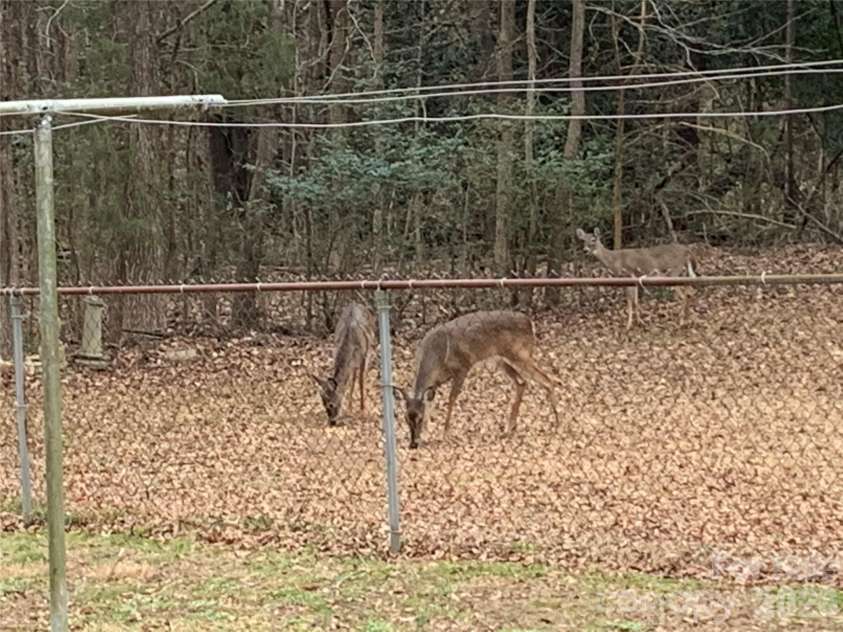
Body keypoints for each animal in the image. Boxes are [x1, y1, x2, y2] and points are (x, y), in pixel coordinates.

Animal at [393, 310, 560, 449]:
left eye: (420, 419)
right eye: (406, 418)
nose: (413, 444)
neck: (437, 356)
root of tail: (530, 323)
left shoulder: (463, 367)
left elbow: (451, 399)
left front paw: (445, 434)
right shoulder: (435, 383)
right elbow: (430, 403)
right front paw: (426, 436)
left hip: (520, 354)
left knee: (547, 380)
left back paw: (557, 424)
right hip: (501, 359)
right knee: (522, 382)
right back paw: (508, 429)